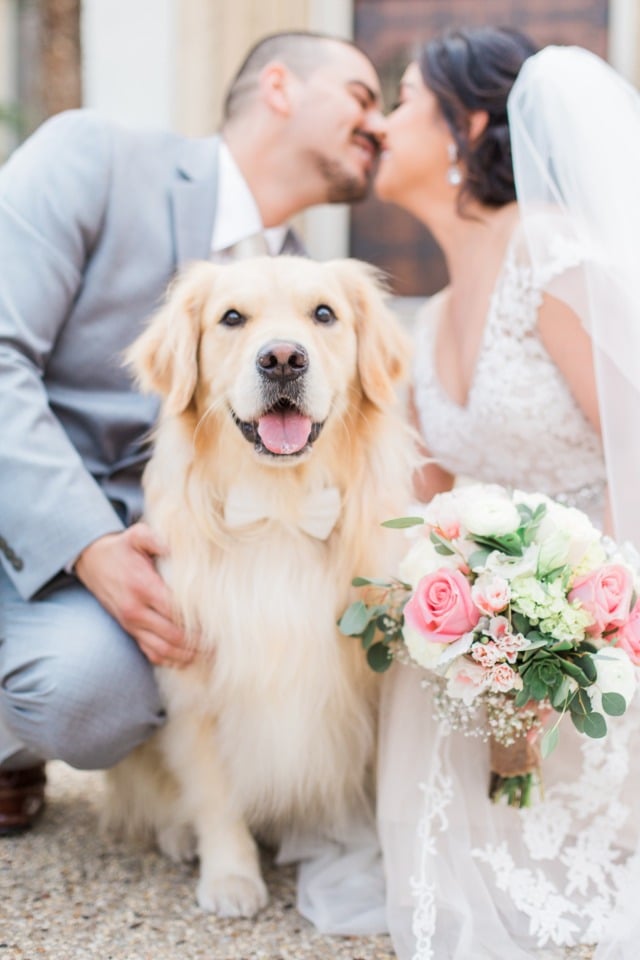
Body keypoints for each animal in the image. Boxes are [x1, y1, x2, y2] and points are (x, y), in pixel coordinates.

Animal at [104, 258, 416, 920]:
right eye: (231, 318)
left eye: (324, 314)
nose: (281, 359)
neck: (280, 511)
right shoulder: (193, 685)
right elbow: (215, 792)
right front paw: (230, 875)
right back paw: (178, 836)